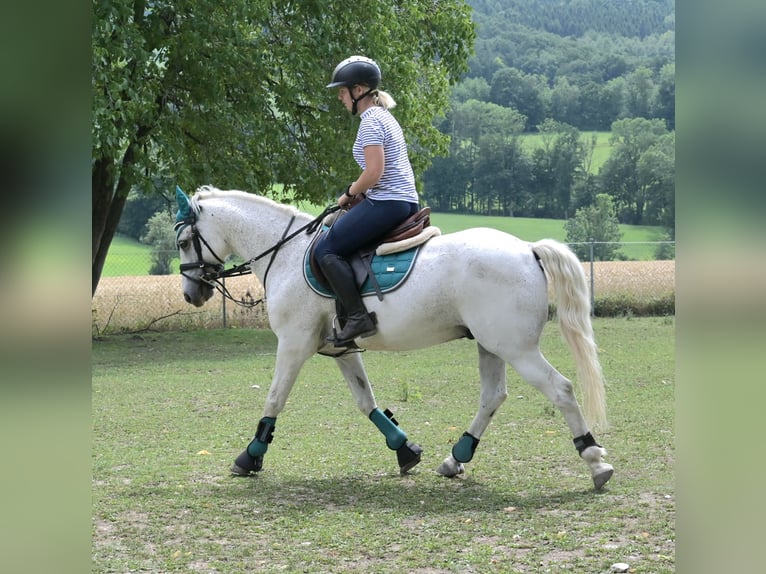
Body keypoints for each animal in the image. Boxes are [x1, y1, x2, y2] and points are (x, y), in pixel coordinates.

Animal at [177, 188, 616, 490]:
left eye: (183, 242)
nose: (191, 293)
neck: (284, 254)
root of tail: (527, 249)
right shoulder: (340, 348)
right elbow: (366, 401)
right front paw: (405, 450)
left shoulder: (294, 344)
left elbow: (274, 399)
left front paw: (249, 457)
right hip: (490, 344)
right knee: (493, 396)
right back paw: (456, 458)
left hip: (515, 347)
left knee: (560, 389)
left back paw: (595, 461)